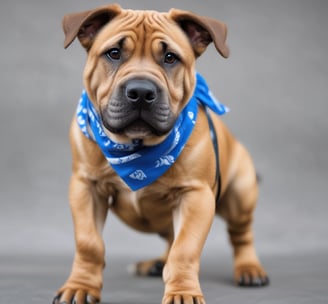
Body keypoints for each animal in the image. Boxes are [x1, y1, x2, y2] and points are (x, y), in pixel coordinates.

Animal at [53, 2, 270, 304]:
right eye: (114, 53)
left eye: (170, 58)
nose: (141, 91)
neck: (136, 149)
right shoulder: (86, 188)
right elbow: (89, 243)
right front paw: (81, 287)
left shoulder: (195, 196)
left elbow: (185, 249)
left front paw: (183, 292)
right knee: (170, 238)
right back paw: (156, 264)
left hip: (240, 194)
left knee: (240, 235)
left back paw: (249, 269)